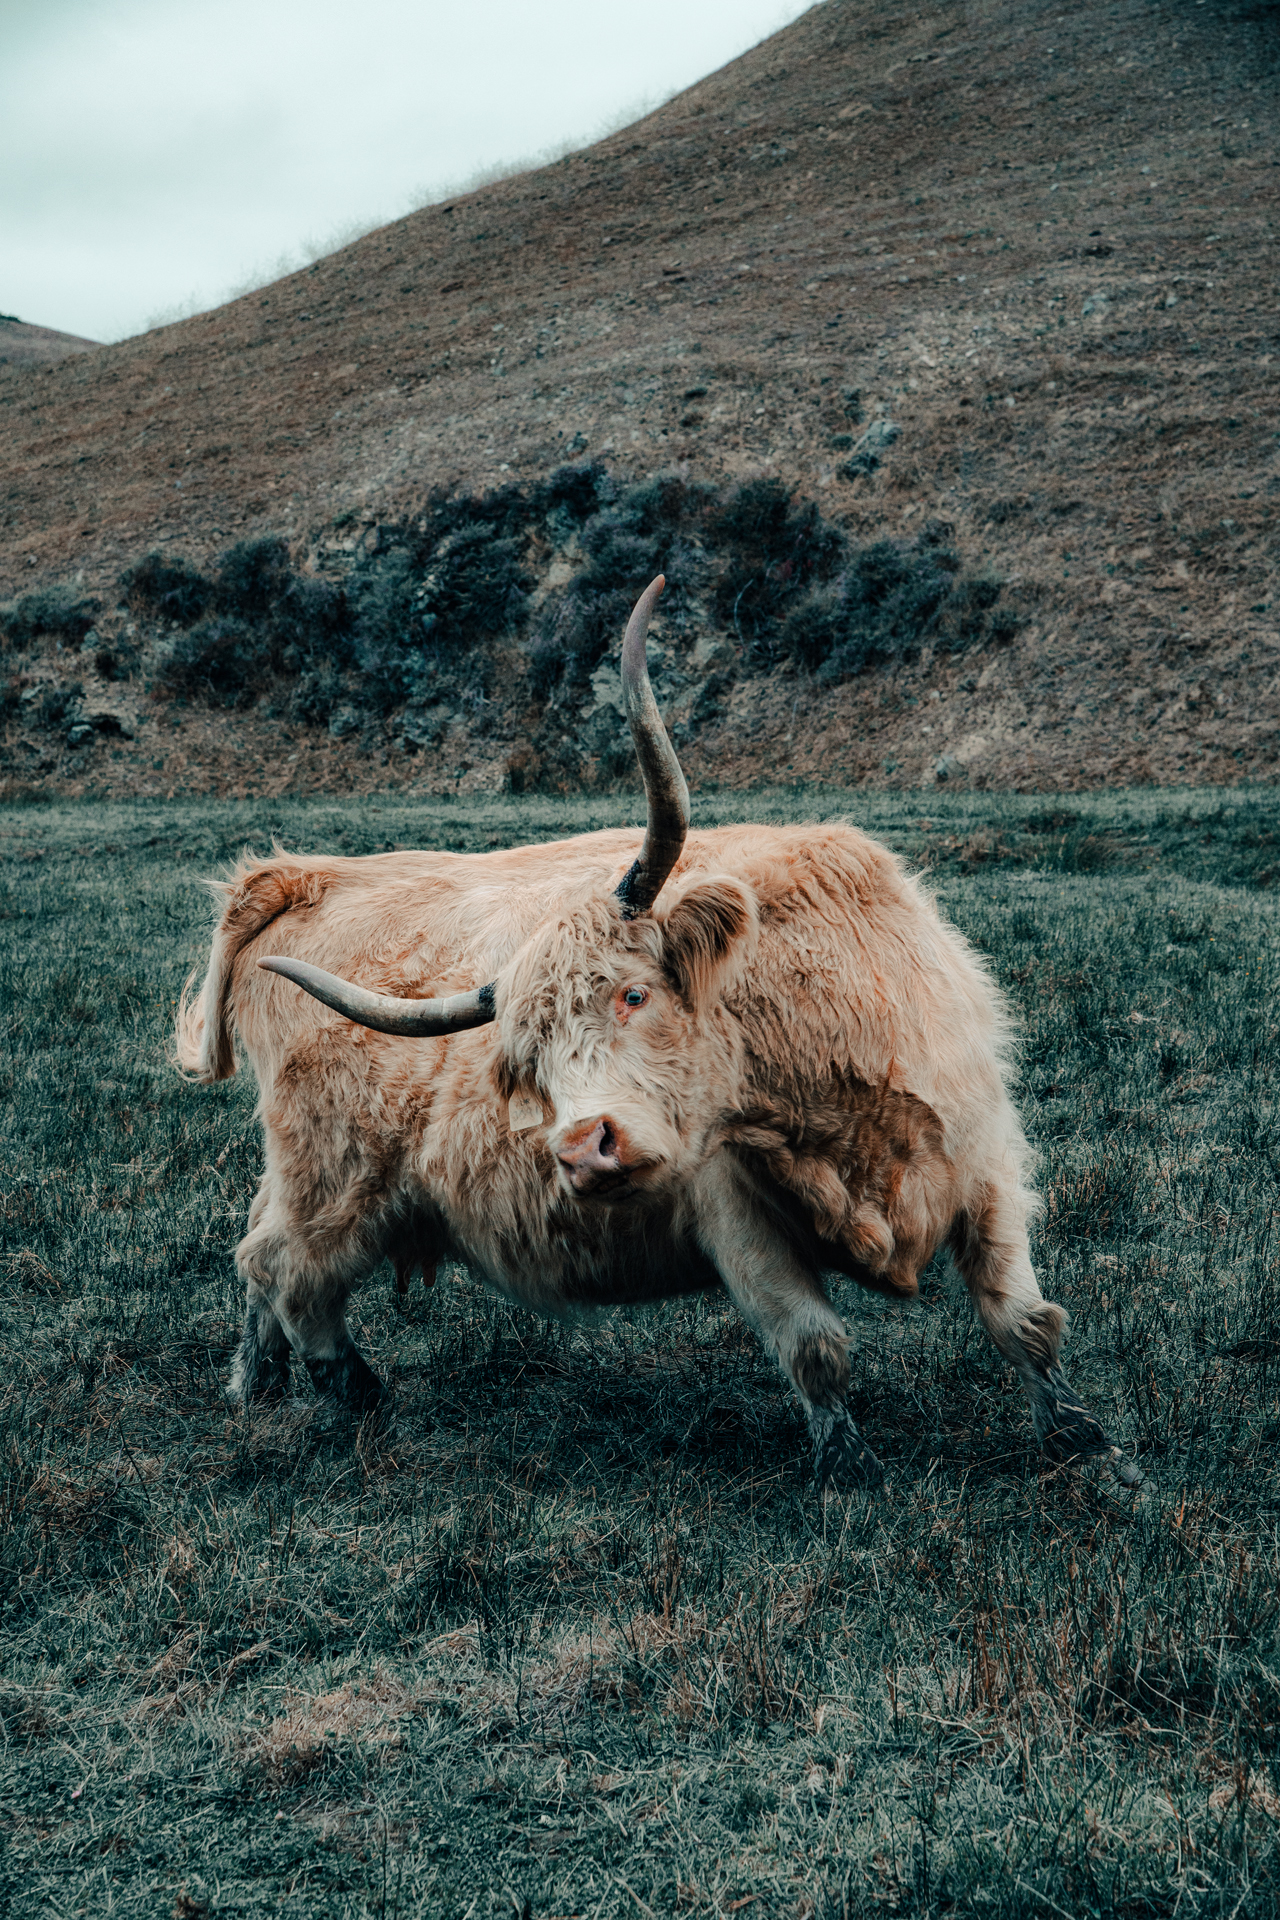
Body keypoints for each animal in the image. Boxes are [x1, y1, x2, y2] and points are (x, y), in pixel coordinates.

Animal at [176, 577, 1139, 1490]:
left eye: (634, 995)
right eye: (527, 1064)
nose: (582, 1150)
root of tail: (308, 876)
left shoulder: (987, 1162)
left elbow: (1023, 1319)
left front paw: (1090, 1447)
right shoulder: (735, 1213)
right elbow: (815, 1346)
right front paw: (853, 1473)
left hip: (305, 1170)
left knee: (260, 1251)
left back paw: (257, 1383)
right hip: (334, 1174)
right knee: (289, 1271)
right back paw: (353, 1393)